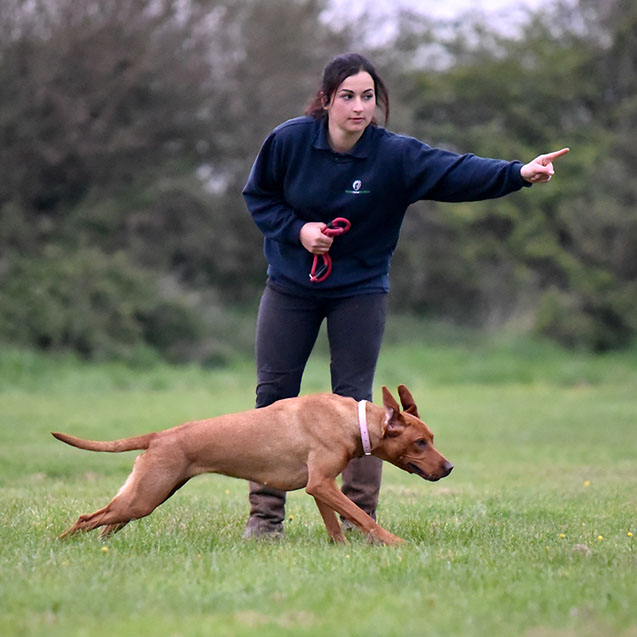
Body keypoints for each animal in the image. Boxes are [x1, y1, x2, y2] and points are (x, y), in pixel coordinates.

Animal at [52, 385, 453, 545]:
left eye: (432, 437)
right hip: (146, 497)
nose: (448, 468)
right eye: (420, 442)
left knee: (105, 524)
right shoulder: (321, 484)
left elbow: (337, 525)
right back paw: (61, 546)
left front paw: (343, 549)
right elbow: (363, 517)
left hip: (146, 496)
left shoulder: (321, 486)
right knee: (86, 518)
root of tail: (160, 435)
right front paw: (395, 542)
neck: (354, 421)